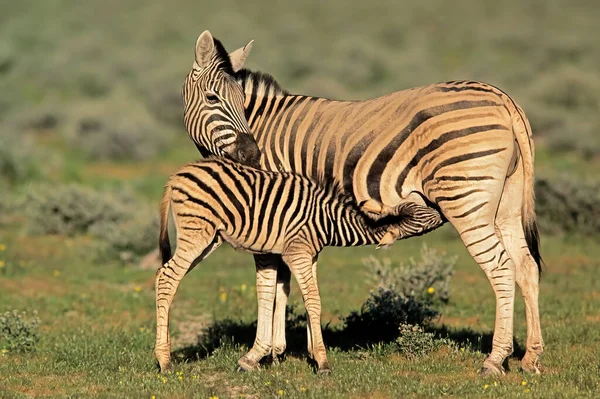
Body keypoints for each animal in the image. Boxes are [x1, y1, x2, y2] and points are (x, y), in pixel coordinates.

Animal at [155, 157, 440, 376]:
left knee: (162, 275)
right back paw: (164, 361)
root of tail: (177, 174)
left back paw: (164, 352)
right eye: (426, 217)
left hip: (210, 239)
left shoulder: (309, 256)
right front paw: (323, 362)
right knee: (168, 276)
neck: (328, 221)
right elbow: (314, 300)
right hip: (197, 234)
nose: (440, 208)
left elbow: (307, 299)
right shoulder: (298, 253)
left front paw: (312, 353)